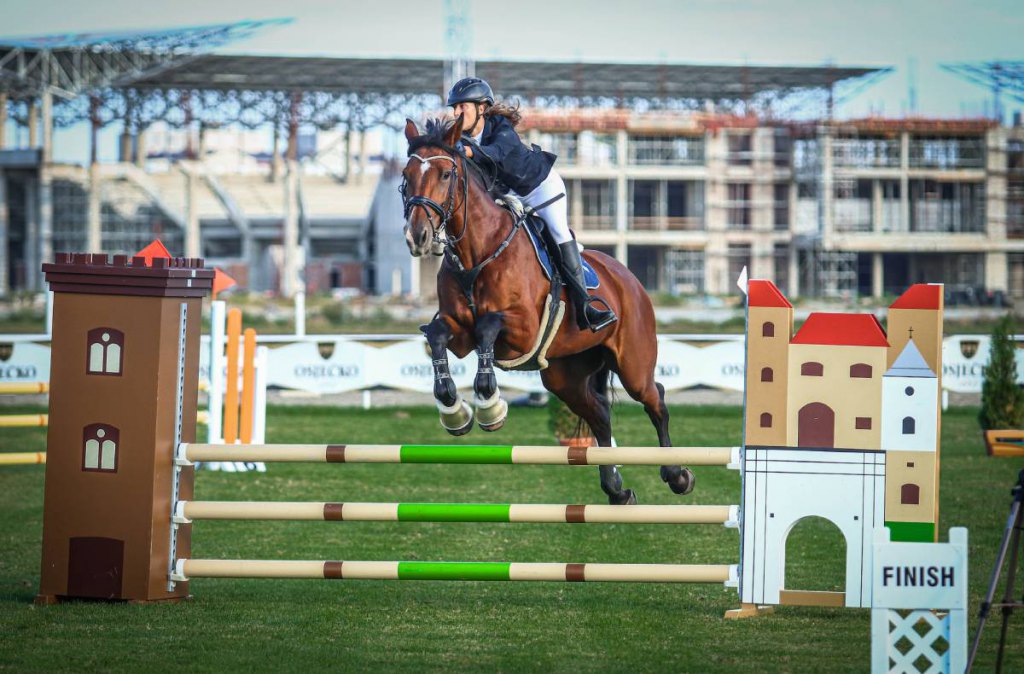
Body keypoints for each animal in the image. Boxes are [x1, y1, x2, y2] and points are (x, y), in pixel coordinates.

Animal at [395, 115, 692, 503]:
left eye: (446, 175)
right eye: (406, 175)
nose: (418, 237)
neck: (479, 251)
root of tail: (628, 277)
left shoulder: (522, 331)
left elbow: (487, 326)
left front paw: (490, 408)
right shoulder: (457, 331)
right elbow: (438, 336)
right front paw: (455, 411)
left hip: (632, 362)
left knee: (654, 399)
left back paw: (677, 475)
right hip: (566, 375)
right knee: (599, 413)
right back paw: (616, 491)